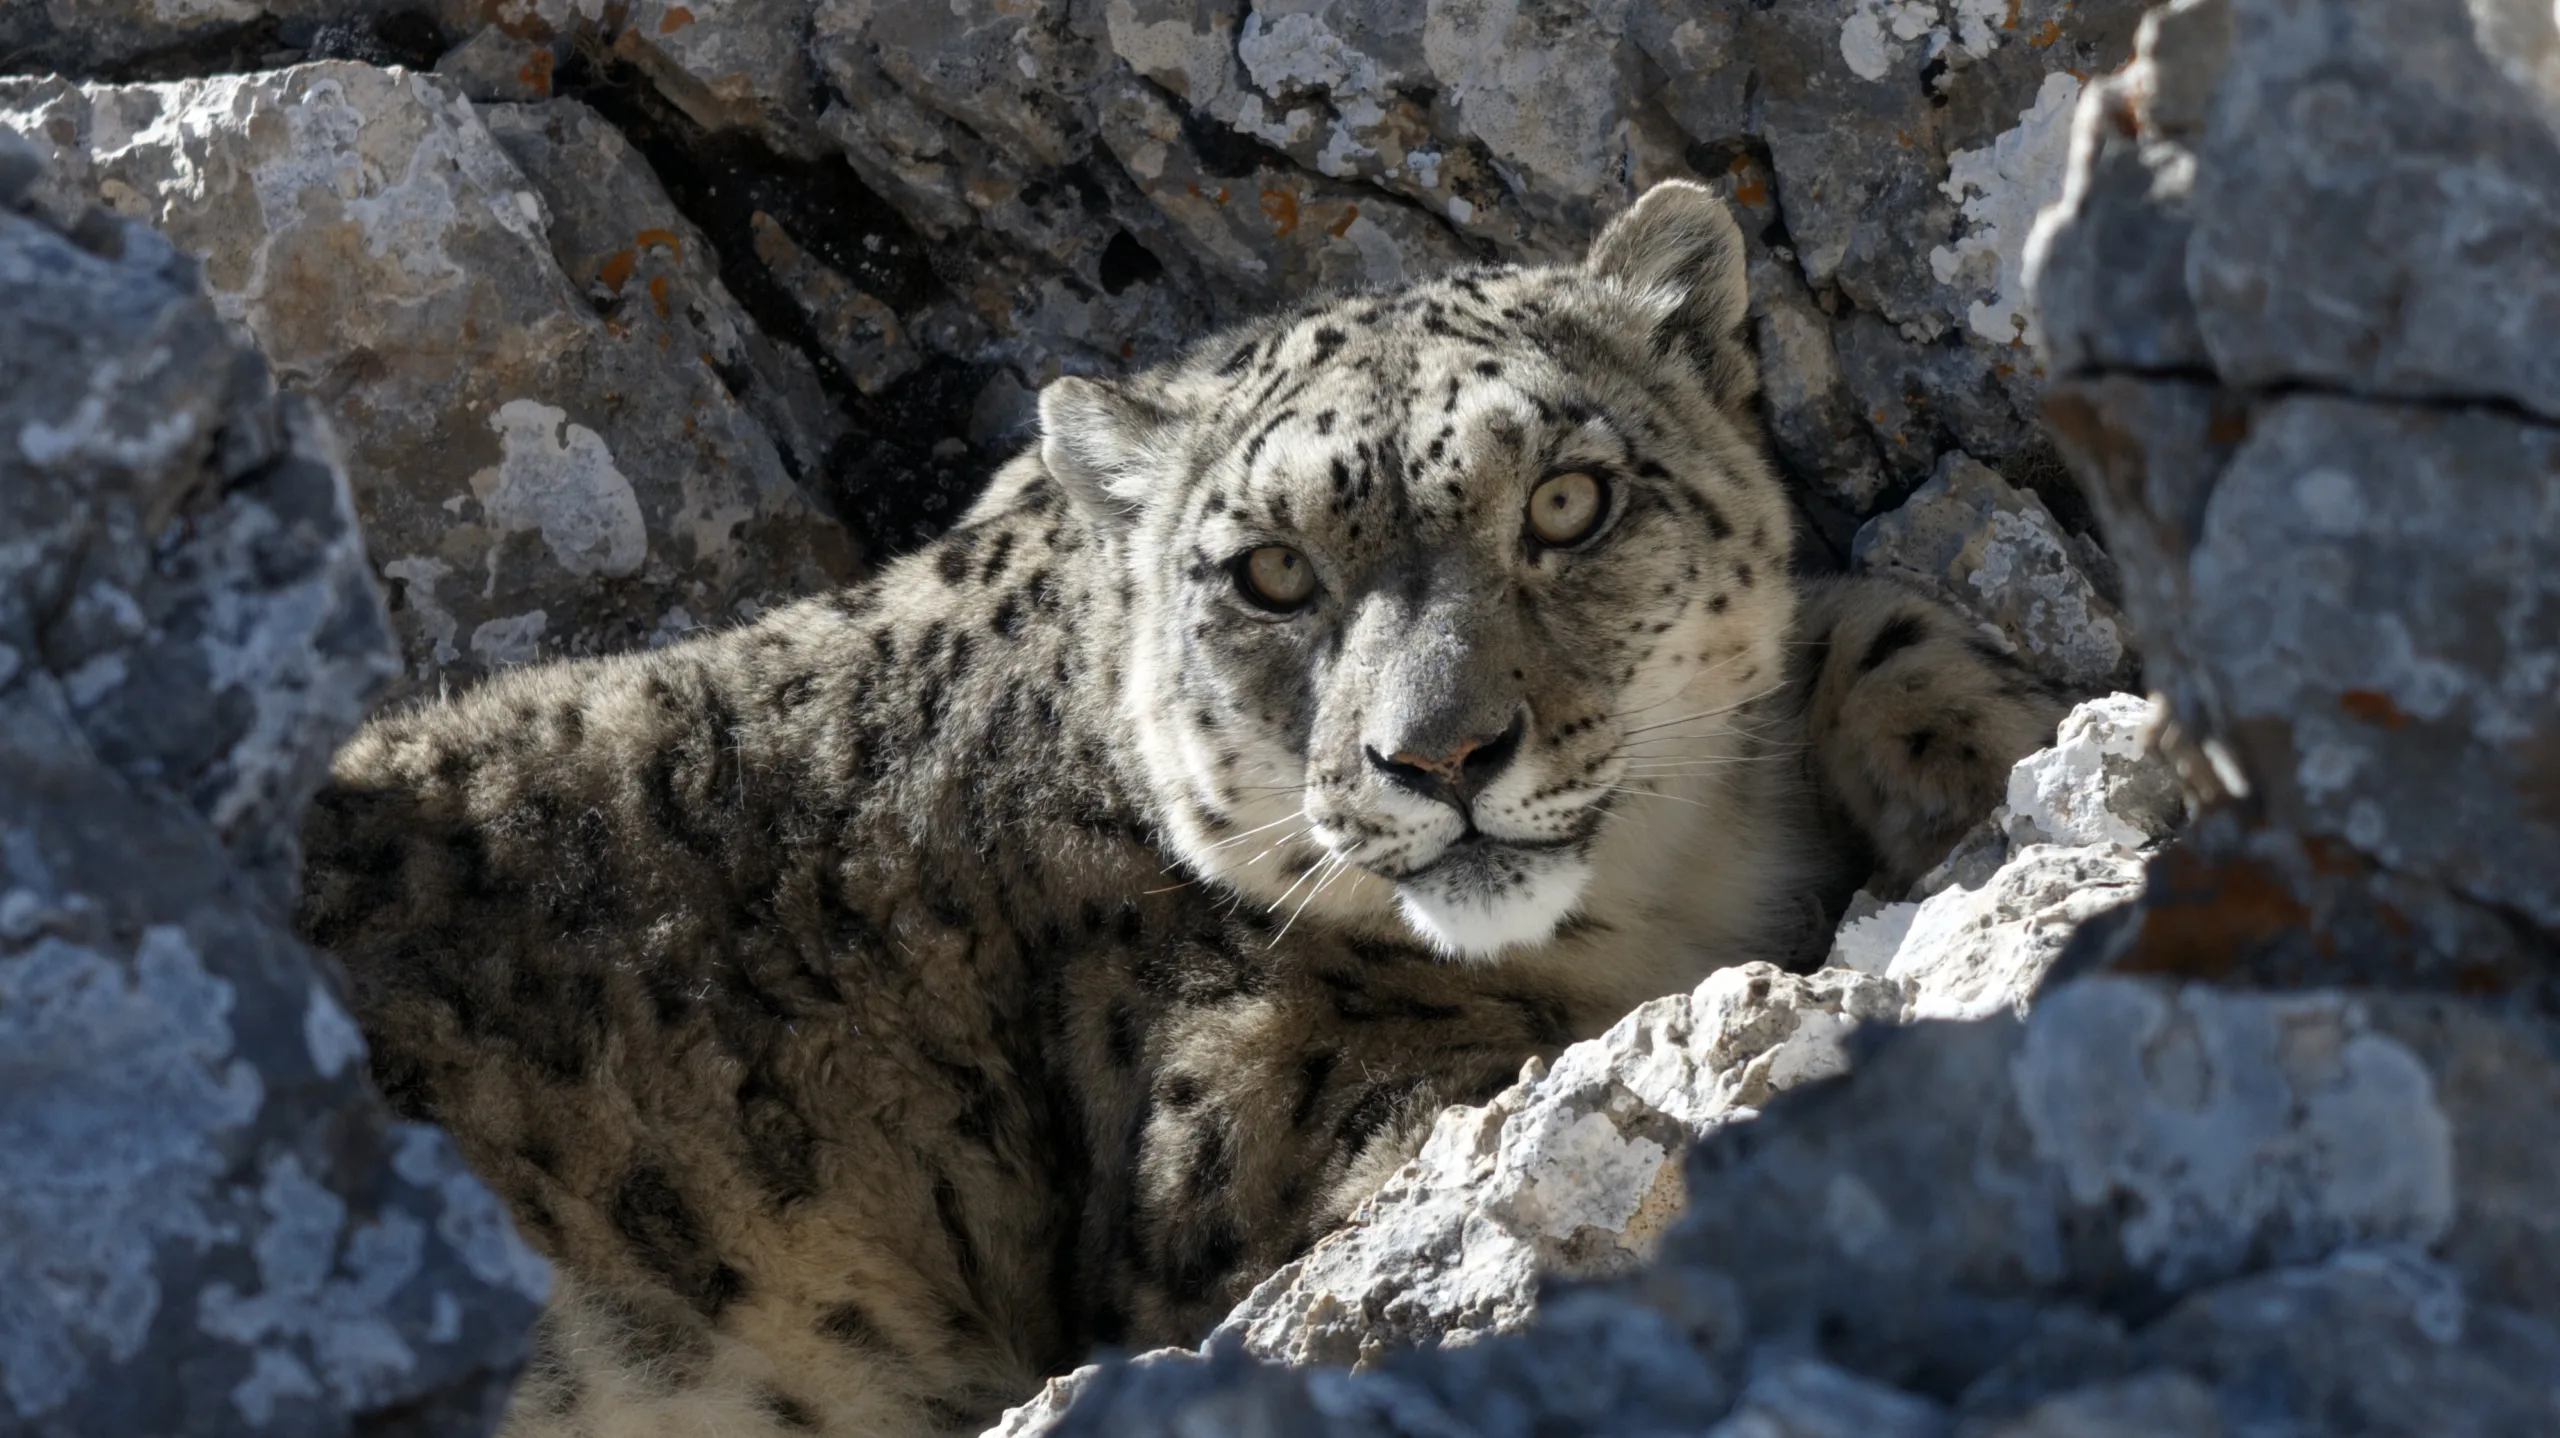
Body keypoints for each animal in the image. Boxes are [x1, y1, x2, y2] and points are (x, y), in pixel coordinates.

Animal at [297, 180, 2067, 1438]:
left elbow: (1872, 621)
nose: (1441, 755)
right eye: (1271, 571)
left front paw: (2008, 754)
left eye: (1568, 499)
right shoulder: (1267, 1115)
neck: (1664, 884)